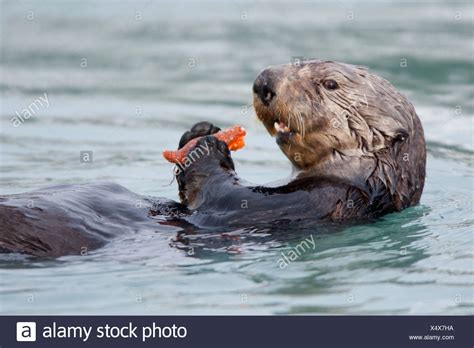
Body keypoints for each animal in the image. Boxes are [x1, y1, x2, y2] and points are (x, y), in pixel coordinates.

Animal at [0, 59, 426, 256]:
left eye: (330, 83)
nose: (263, 81)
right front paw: (199, 130)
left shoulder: (323, 198)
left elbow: (218, 196)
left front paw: (207, 146)